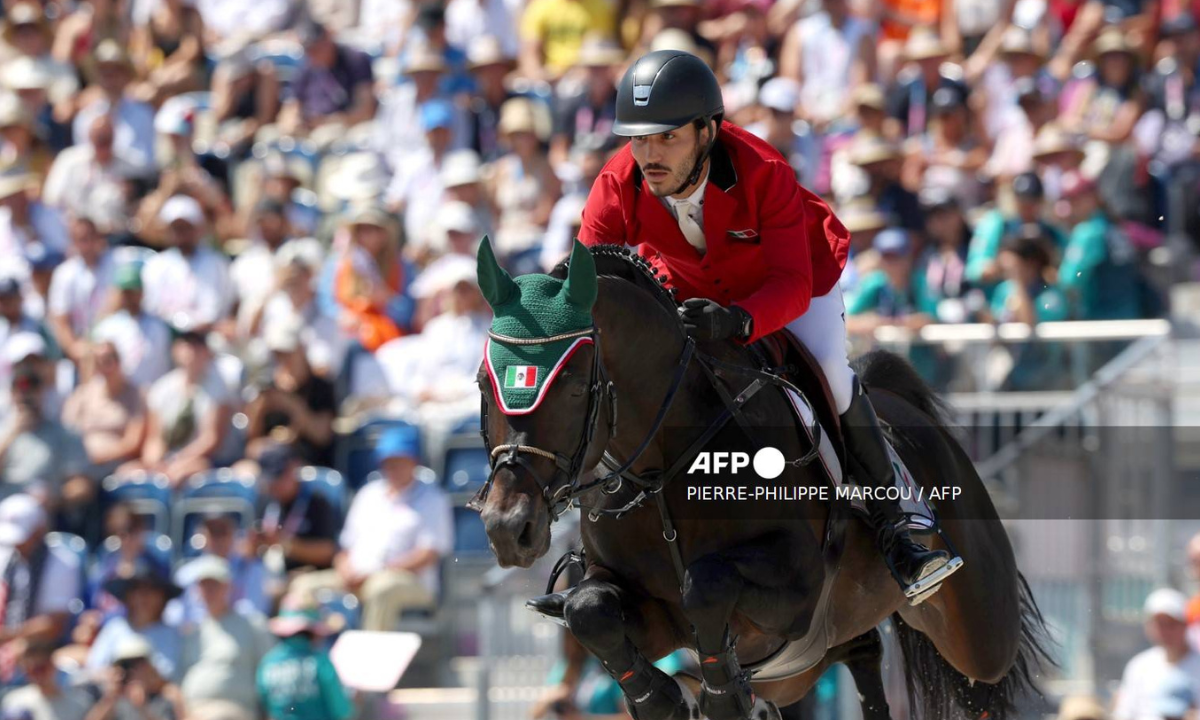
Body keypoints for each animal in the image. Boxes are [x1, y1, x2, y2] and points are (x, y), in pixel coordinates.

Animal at [470, 240, 1051, 720]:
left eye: (571, 387)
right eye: (482, 383)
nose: (508, 528)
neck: (662, 468)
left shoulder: (797, 587)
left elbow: (706, 584)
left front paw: (722, 697)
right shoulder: (644, 609)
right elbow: (589, 609)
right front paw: (663, 699)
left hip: (978, 633)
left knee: (980, 679)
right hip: (801, 667)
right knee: (859, 650)